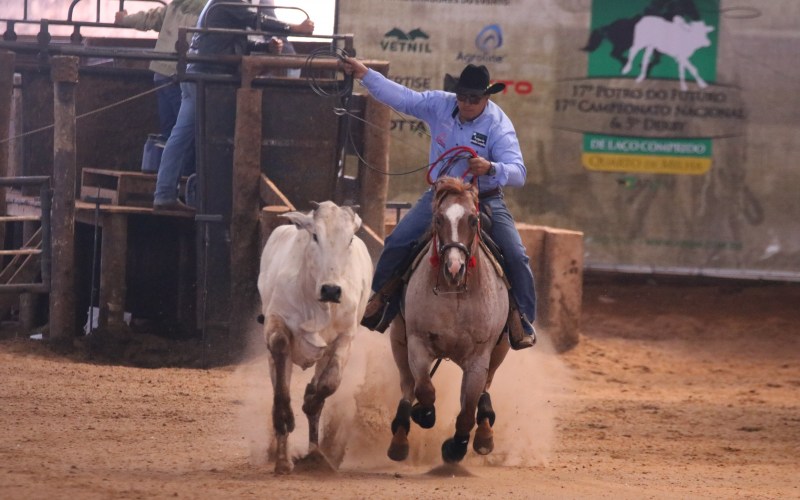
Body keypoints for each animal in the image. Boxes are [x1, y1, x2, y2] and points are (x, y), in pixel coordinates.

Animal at [258, 201, 374, 474]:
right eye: (314, 236)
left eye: (349, 238)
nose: (331, 290)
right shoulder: (275, 324)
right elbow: (281, 371)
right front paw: (284, 418)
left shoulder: (344, 337)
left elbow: (328, 385)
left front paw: (310, 398)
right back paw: (282, 459)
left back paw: (314, 455)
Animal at [384, 177, 510, 464]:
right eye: (438, 219)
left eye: (473, 220)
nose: (454, 268)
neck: (454, 294)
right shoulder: (417, 343)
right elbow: (425, 390)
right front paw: (424, 414)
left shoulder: (479, 358)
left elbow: (467, 411)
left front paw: (456, 447)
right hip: (398, 339)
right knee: (407, 385)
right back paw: (400, 437)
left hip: (500, 349)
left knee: (485, 389)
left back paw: (484, 434)